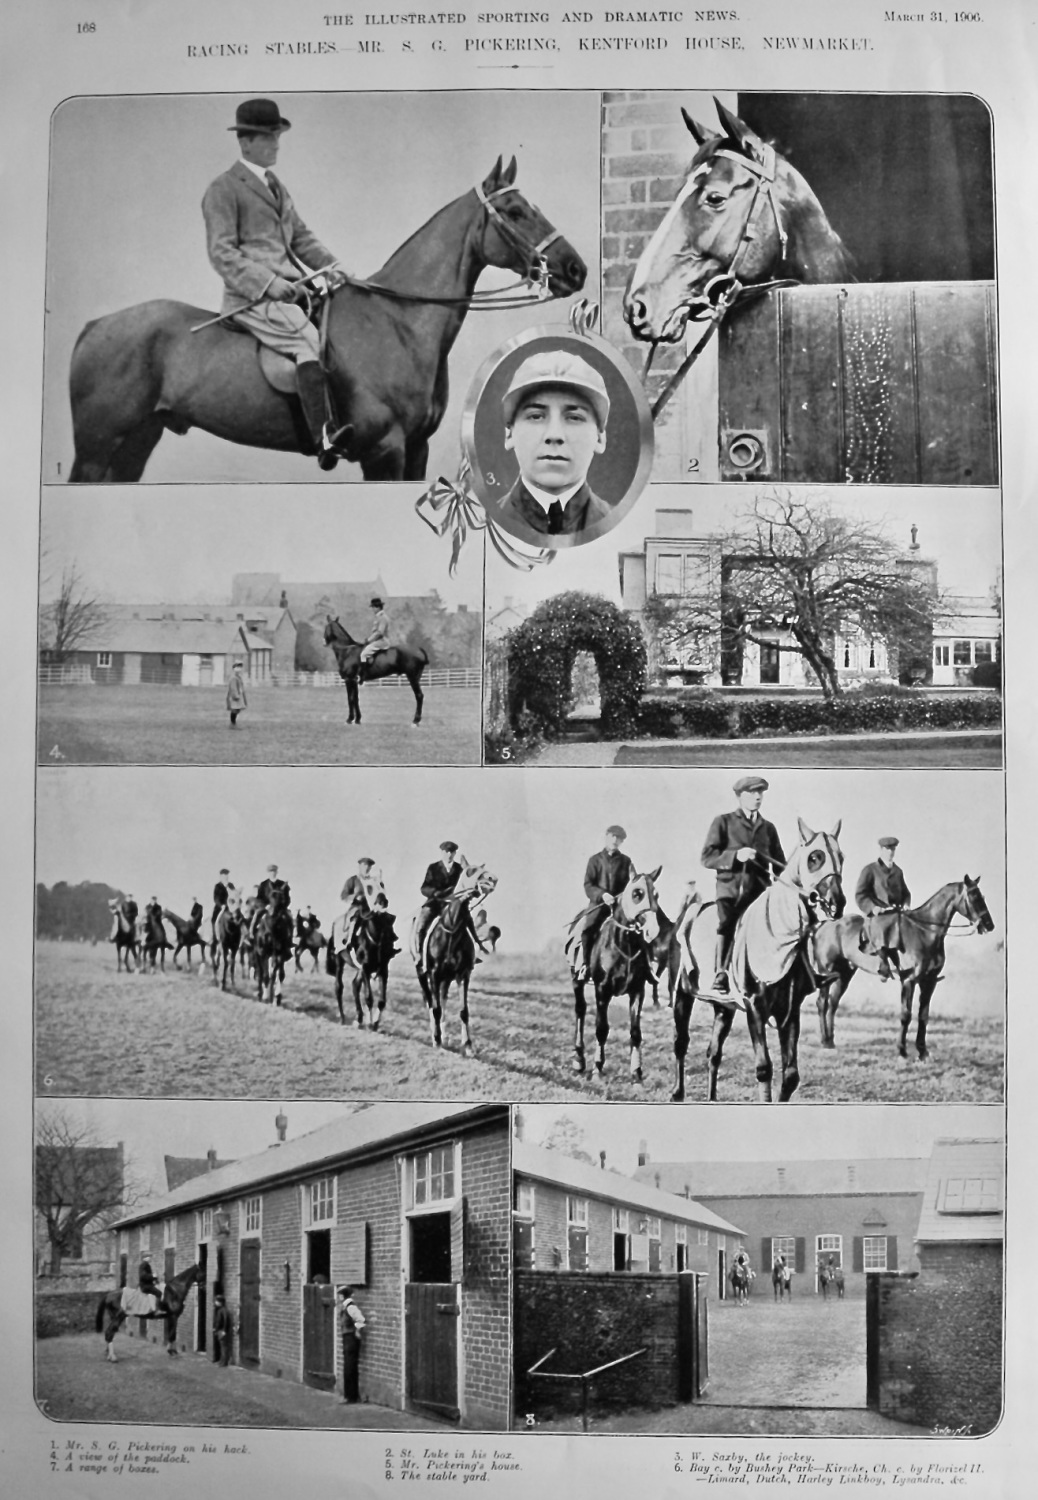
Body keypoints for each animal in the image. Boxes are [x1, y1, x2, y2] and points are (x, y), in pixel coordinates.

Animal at [66, 153, 585, 480]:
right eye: (515, 211)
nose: (575, 269)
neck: (398, 324)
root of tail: (96, 326)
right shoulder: (385, 451)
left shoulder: (415, 449)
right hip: (96, 446)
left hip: (136, 442)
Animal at [414, 864, 495, 1062]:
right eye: (471, 870)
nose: (492, 878)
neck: (451, 929)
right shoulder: (434, 974)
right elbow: (435, 1009)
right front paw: (437, 1041)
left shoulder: (462, 975)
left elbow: (463, 1011)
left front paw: (468, 1047)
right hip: (424, 976)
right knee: (431, 1003)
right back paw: (436, 1036)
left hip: (446, 979)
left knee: (442, 1002)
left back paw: (445, 1036)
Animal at [567, 876, 666, 1086]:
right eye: (637, 893)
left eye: (656, 894)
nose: (653, 930)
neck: (624, 944)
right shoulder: (602, 990)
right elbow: (601, 1029)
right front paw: (597, 1069)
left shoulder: (637, 991)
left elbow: (635, 1032)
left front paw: (636, 1072)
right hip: (576, 981)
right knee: (580, 1010)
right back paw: (579, 1060)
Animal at [810, 876, 996, 1062]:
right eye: (974, 896)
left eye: (982, 896)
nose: (989, 925)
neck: (925, 933)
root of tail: (823, 925)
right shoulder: (909, 980)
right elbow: (906, 1014)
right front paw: (902, 1050)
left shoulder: (929, 982)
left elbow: (923, 1016)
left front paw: (922, 1051)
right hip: (826, 971)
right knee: (822, 1003)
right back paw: (824, 1041)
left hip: (844, 974)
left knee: (833, 1003)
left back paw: (830, 1041)